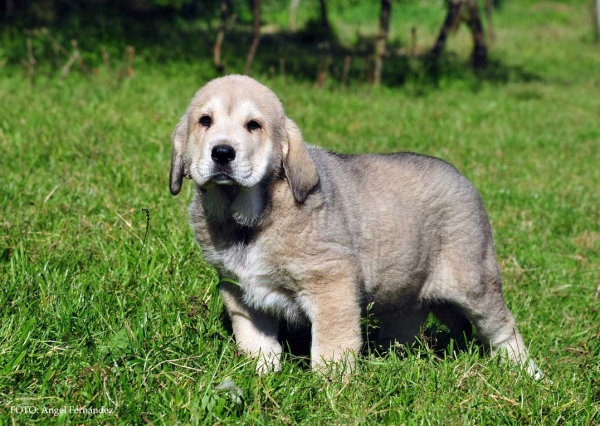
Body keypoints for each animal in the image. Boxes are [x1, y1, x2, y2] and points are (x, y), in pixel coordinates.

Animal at [168, 75, 540, 378]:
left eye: (253, 126)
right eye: (204, 121)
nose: (222, 152)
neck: (249, 221)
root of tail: (462, 178)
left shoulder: (331, 284)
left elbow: (331, 345)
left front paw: (331, 388)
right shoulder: (238, 291)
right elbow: (256, 341)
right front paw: (262, 374)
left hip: (475, 282)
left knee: (503, 328)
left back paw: (527, 372)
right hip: (407, 287)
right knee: (408, 320)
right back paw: (393, 356)